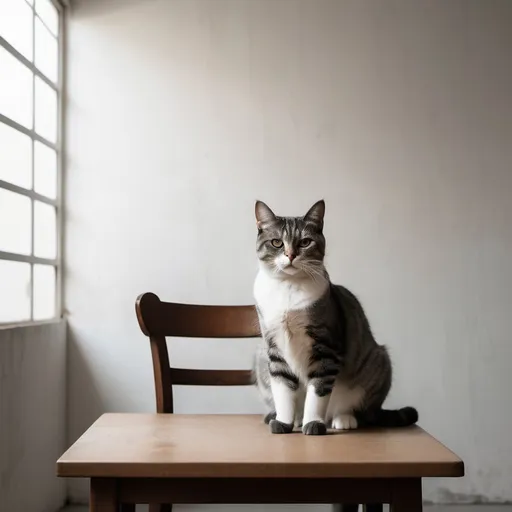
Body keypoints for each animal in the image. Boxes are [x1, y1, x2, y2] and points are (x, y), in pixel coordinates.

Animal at [252, 200, 416, 436]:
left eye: (305, 242)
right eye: (276, 242)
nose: (291, 255)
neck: (289, 289)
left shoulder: (325, 348)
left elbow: (318, 391)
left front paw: (313, 424)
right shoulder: (275, 348)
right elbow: (283, 390)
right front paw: (283, 422)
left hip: (377, 360)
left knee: (360, 411)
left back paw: (342, 419)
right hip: (260, 357)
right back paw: (289, 419)